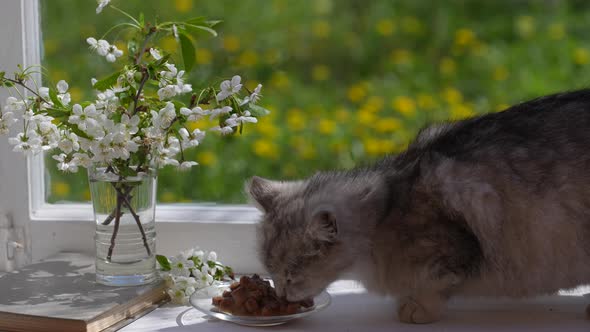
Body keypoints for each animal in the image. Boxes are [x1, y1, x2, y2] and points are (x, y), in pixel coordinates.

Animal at [245, 89, 590, 322]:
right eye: (271, 271)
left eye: (291, 276)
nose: (280, 293)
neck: (387, 210)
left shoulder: (453, 253)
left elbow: (433, 287)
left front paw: (416, 309)